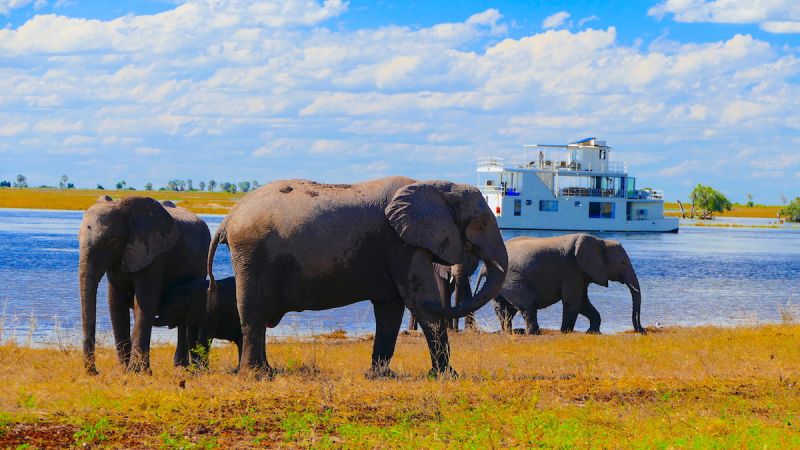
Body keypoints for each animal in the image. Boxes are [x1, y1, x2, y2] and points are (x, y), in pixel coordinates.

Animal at [77, 197, 209, 372]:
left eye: (111, 241)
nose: (95, 372)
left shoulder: (155, 254)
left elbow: (144, 301)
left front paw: (136, 372)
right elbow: (116, 304)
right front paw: (124, 370)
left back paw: (181, 368)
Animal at [206, 176, 506, 376]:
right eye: (482, 223)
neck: (434, 186)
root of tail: (227, 219)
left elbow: (390, 309)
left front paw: (381, 376)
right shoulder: (401, 244)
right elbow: (420, 301)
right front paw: (447, 376)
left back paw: (266, 371)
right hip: (253, 254)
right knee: (253, 314)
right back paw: (258, 376)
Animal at [484, 236, 648, 334]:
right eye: (623, 263)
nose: (643, 331)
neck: (600, 241)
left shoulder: (580, 273)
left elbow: (583, 303)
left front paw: (592, 332)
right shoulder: (572, 270)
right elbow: (574, 303)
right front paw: (566, 332)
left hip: (502, 280)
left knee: (504, 308)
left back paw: (508, 332)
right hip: (510, 277)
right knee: (528, 303)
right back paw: (533, 333)